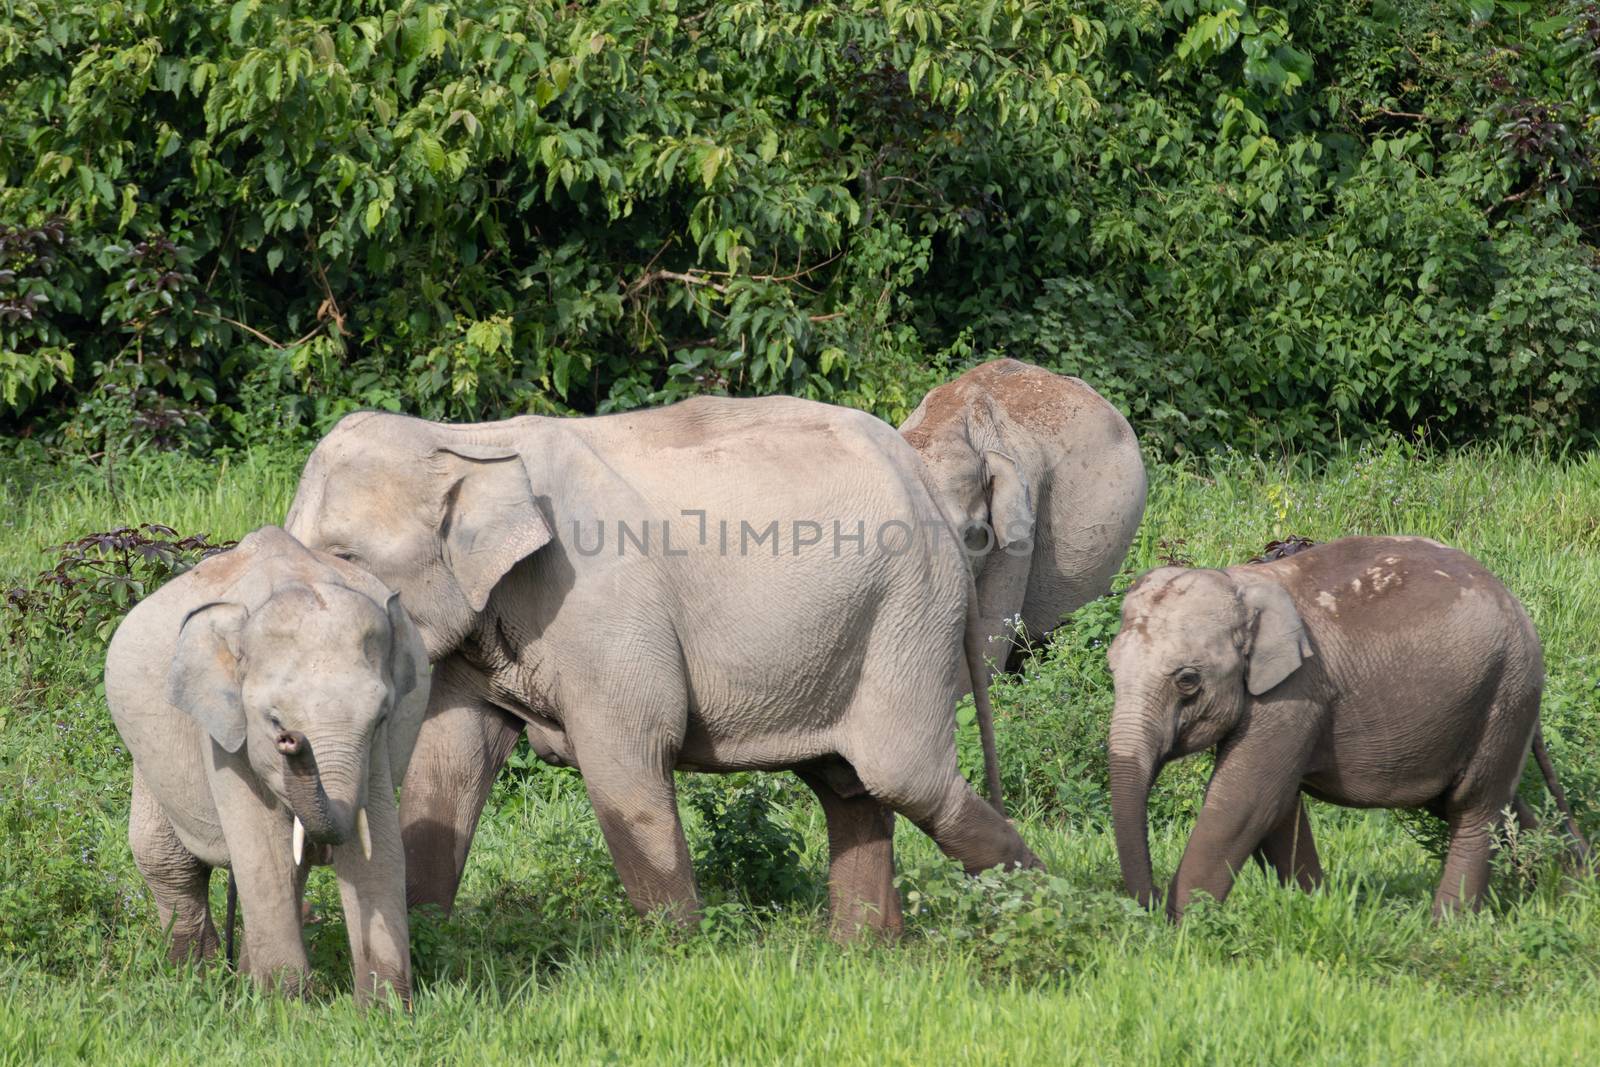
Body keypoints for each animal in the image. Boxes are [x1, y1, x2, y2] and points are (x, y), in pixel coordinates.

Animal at [105, 527, 432, 1011]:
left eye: (381, 718)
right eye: (275, 722)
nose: (293, 742)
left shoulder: (375, 753)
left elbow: (378, 846)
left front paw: (383, 1012)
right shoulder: (224, 731)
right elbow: (260, 844)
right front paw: (285, 1008)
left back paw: (240, 978)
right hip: (148, 750)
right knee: (167, 857)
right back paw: (199, 980)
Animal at [286, 396, 1036, 940]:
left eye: (345, 559)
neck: (465, 439)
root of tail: (922, 481)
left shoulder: (600, 603)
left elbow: (629, 755)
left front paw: (681, 958)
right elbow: (450, 764)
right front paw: (433, 940)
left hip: (908, 610)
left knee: (900, 774)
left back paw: (1038, 904)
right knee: (846, 785)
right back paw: (865, 952)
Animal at [1107, 537, 1580, 921]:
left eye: (1187, 680)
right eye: (1111, 668)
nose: (1150, 905)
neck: (1238, 580)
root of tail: (1513, 601)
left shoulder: (1295, 691)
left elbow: (1246, 801)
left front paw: (1183, 929)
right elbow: (1278, 809)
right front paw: (1316, 906)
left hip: (1507, 691)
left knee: (1474, 806)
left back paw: (1448, 927)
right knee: (1489, 804)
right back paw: (1567, 890)